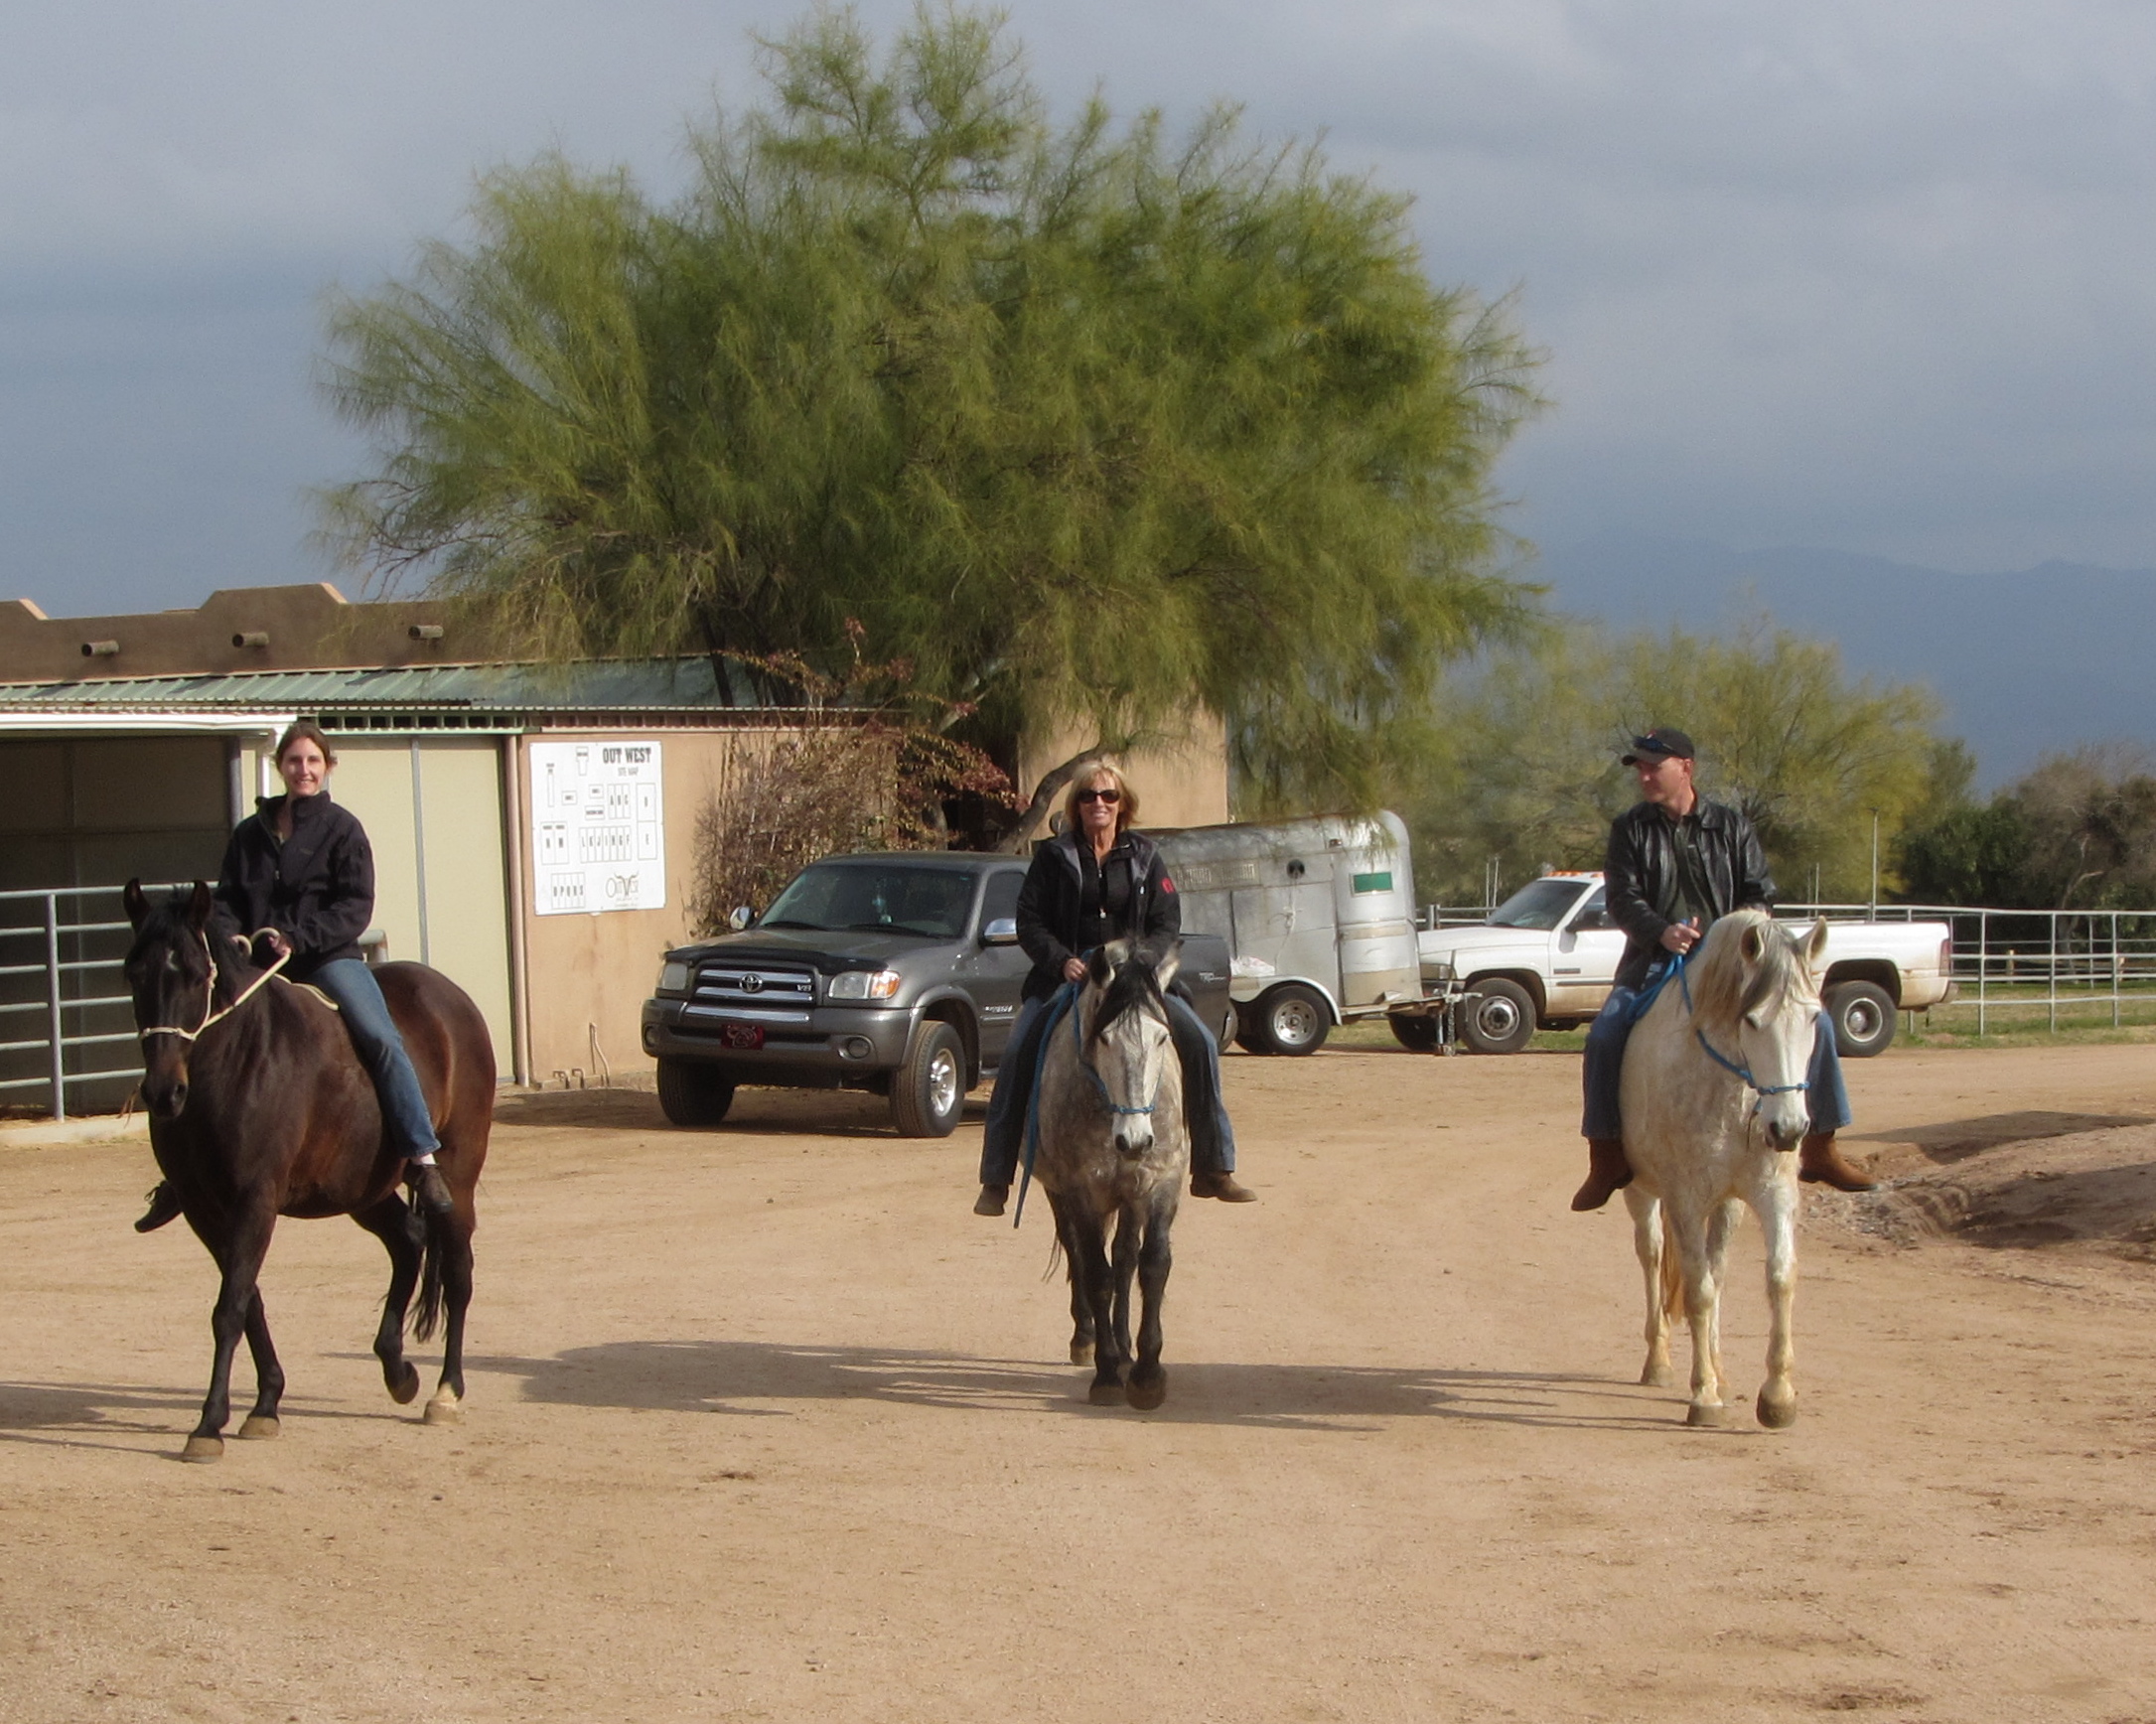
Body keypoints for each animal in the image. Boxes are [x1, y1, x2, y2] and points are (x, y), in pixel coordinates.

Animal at [121, 880, 494, 1461]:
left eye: (196, 973)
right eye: (134, 973)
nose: (163, 1092)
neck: (235, 1064)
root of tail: (451, 998)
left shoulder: (255, 1200)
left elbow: (229, 1308)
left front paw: (209, 1424)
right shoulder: (206, 1210)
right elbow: (246, 1299)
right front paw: (265, 1404)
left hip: (457, 1177)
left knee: (457, 1273)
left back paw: (445, 1392)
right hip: (362, 1191)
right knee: (407, 1241)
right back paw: (397, 1370)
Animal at [1028, 939, 1187, 1411]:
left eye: (1161, 1036)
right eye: (1104, 1037)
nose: (1134, 1141)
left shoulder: (1159, 1184)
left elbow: (1151, 1266)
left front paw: (1147, 1374)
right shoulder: (1082, 1190)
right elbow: (1096, 1273)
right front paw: (1106, 1374)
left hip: (1129, 1195)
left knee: (1125, 1258)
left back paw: (1123, 1344)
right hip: (1062, 1192)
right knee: (1078, 1253)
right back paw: (1088, 1338)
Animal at [1618, 908, 1830, 1429]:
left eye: (1814, 1016)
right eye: (1751, 1020)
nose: (1788, 1129)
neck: (1734, 1096)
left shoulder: (1770, 1193)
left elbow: (1778, 1277)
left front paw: (1777, 1397)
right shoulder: (1686, 1201)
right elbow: (1697, 1290)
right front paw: (1704, 1397)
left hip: (1728, 1205)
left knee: (1719, 1270)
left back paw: (1718, 1368)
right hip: (1642, 1192)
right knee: (1653, 1257)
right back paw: (1660, 1364)